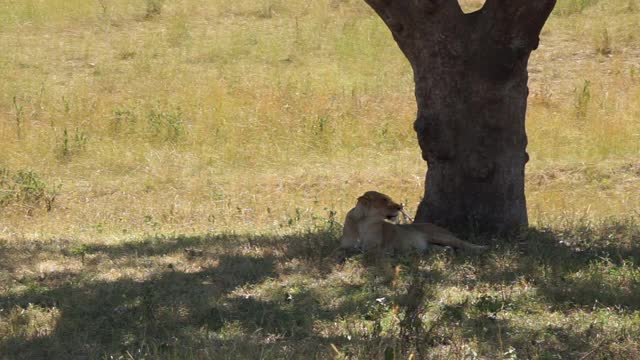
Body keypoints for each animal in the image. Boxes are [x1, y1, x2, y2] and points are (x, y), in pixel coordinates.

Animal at [342, 191, 488, 253]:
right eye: (384, 200)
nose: (400, 206)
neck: (364, 221)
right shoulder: (345, 245)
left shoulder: (375, 246)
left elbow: (366, 250)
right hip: (431, 244)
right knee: (441, 248)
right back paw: (445, 251)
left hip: (440, 236)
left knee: (462, 243)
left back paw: (482, 248)